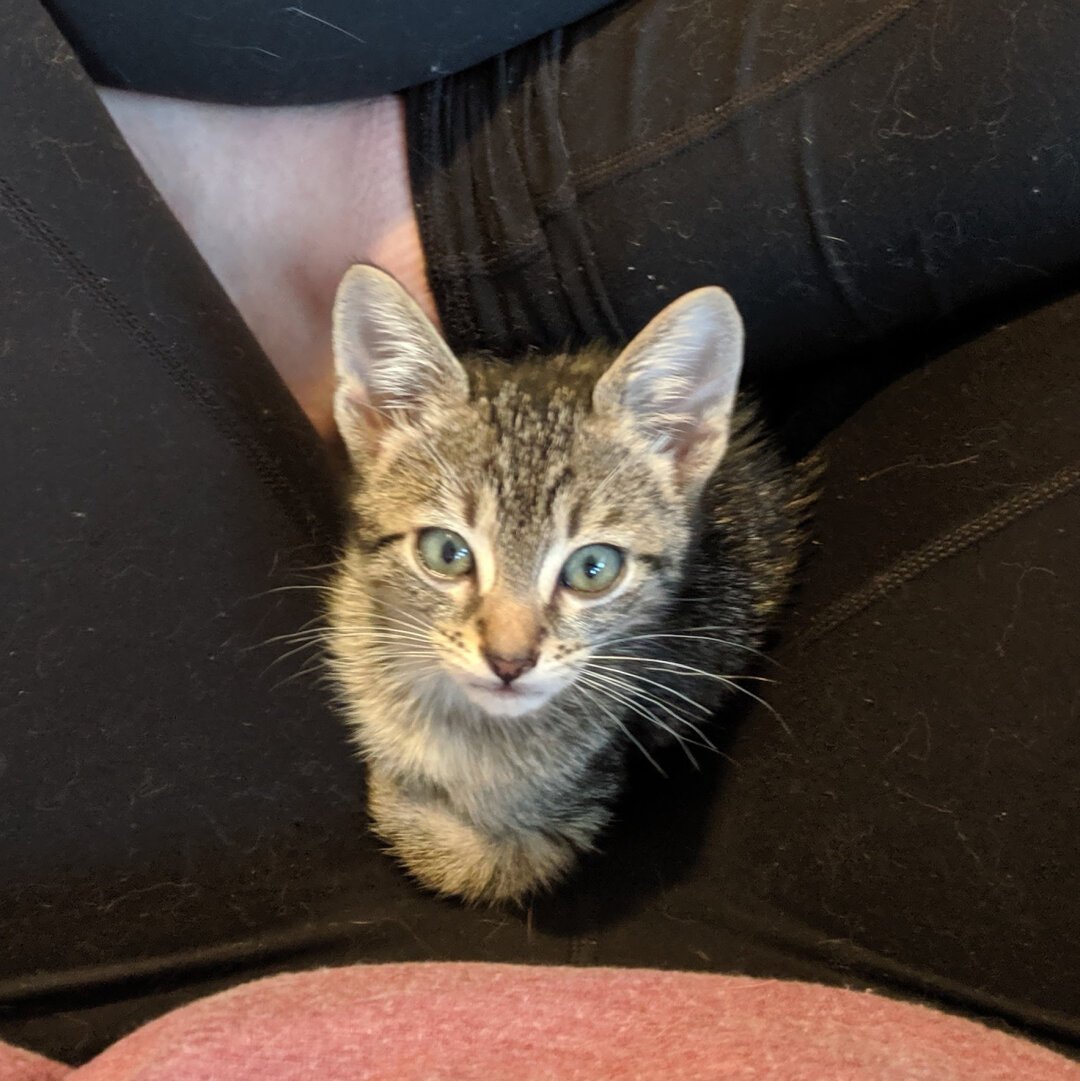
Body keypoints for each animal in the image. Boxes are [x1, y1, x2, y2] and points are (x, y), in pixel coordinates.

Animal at [324, 263, 808, 903]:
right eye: (446, 553)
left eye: (593, 569)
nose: (509, 661)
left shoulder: (570, 812)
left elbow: (466, 858)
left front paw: (400, 800)